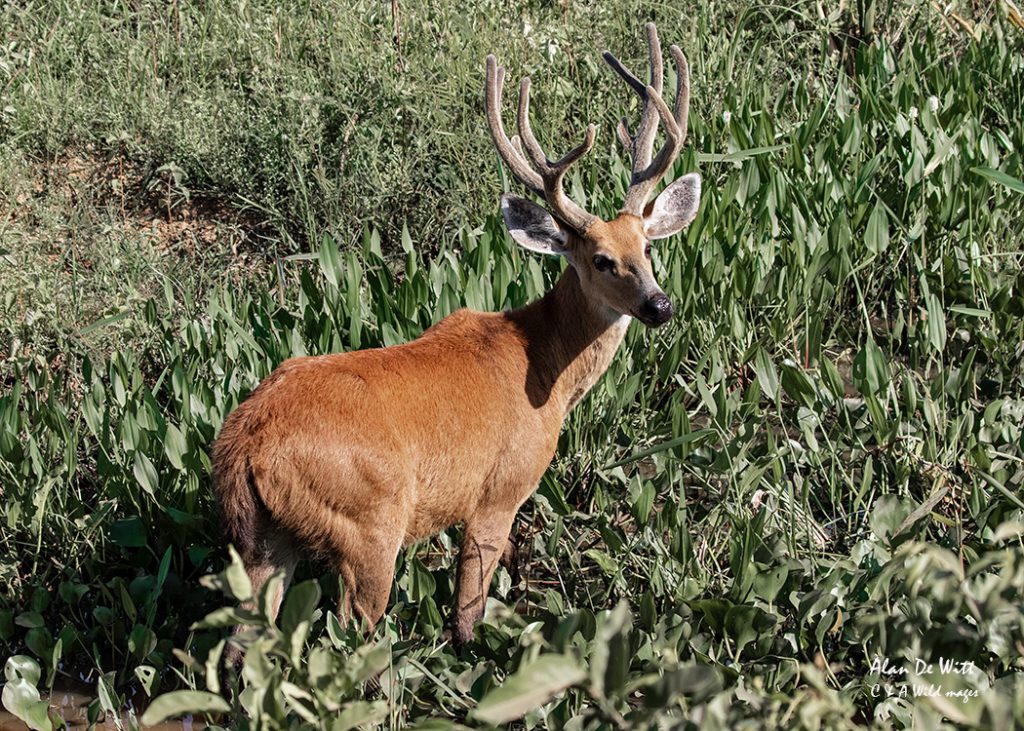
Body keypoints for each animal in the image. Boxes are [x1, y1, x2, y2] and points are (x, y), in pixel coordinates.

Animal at [212, 22, 701, 652]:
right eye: (600, 260)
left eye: (647, 248)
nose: (659, 305)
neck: (544, 367)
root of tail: (244, 445)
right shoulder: (501, 488)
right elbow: (468, 608)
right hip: (370, 521)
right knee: (355, 632)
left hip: (266, 539)